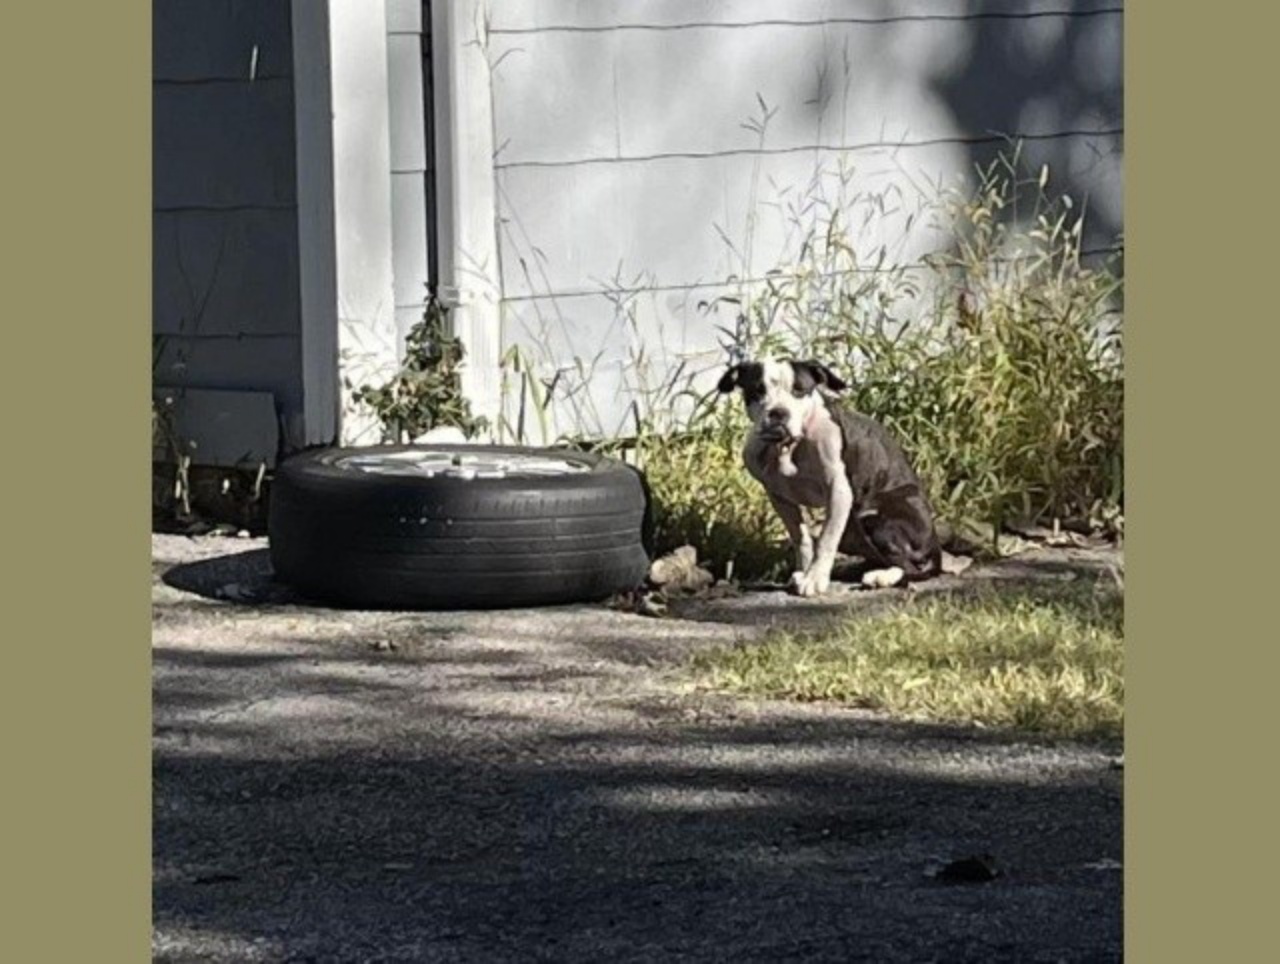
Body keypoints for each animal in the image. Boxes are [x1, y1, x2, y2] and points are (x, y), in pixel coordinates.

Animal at [721, 355, 942, 591]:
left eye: (799, 390)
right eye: (758, 390)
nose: (778, 412)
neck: (789, 447)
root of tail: (934, 540)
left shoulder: (838, 490)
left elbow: (826, 539)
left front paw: (814, 579)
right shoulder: (779, 498)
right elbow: (801, 537)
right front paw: (805, 572)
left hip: (875, 521)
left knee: (909, 567)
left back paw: (881, 577)